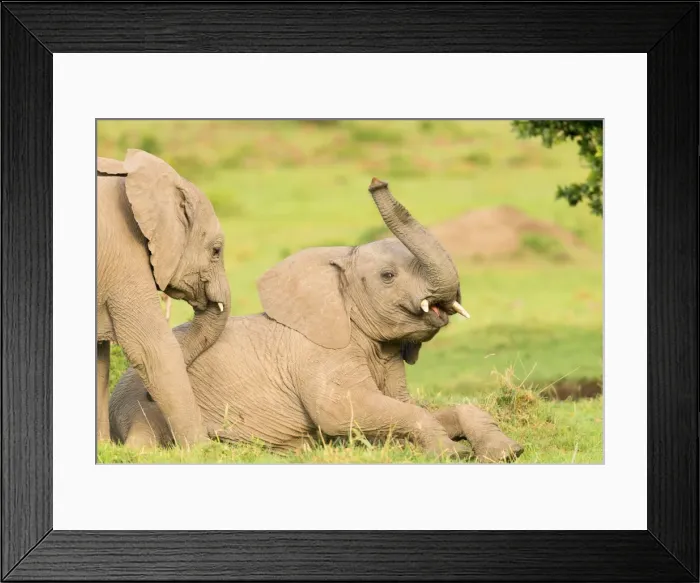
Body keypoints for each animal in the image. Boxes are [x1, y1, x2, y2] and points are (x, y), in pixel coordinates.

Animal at [97, 149, 231, 447]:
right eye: (216, 251)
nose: (146, 397)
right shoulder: (123, 253)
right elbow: (152, 347)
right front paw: (203, 451)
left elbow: (100, 359)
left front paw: (102, 447)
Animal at [109, 178, 523, 462]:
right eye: (388, 276)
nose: (376, 181)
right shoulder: (318, 357)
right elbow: (343, 411)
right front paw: (451, 453)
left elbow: (413, 406)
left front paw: (507, 452)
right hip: (140, 406)